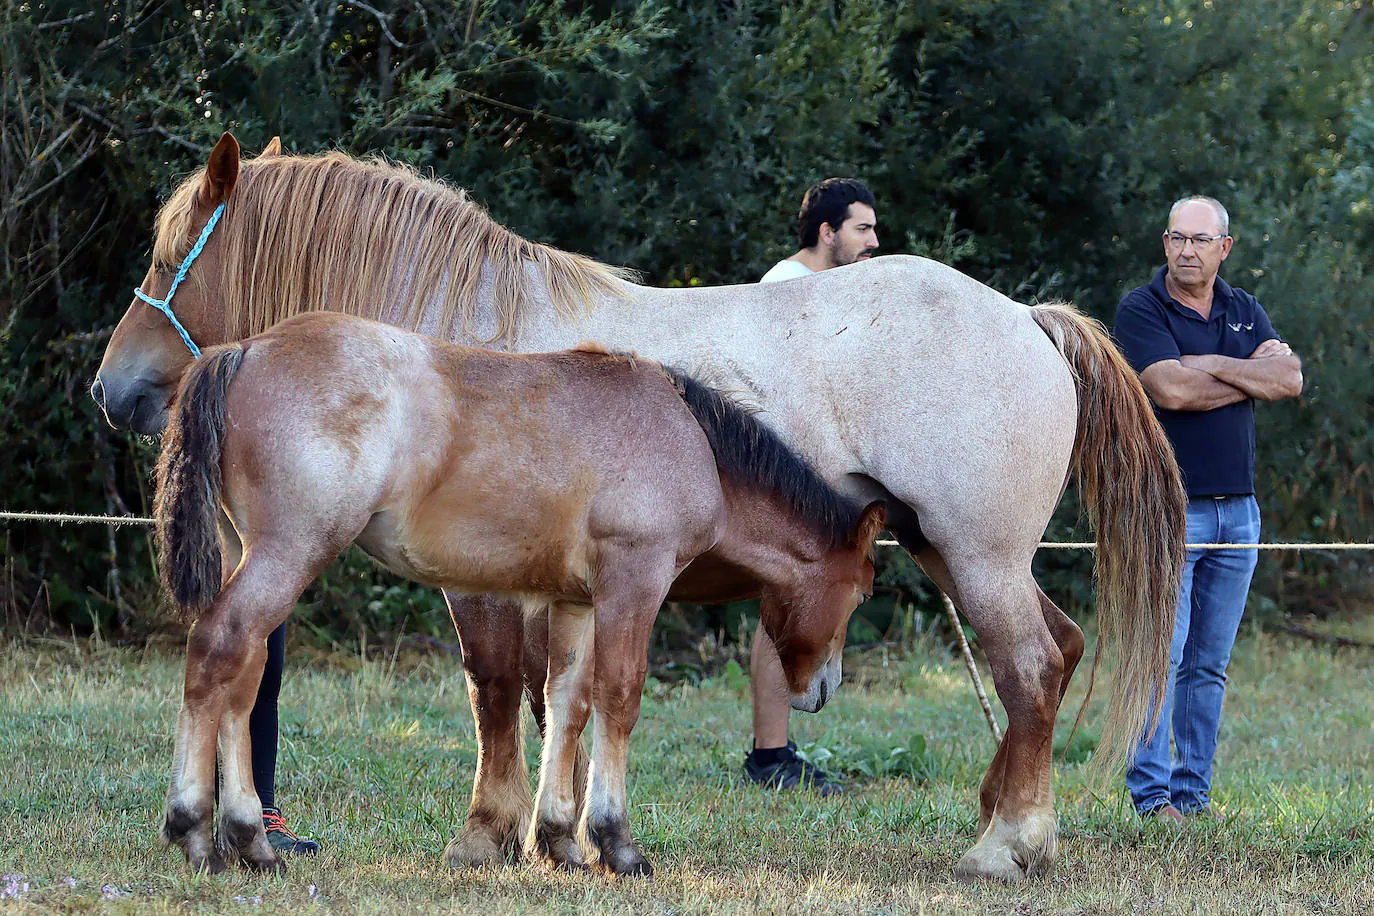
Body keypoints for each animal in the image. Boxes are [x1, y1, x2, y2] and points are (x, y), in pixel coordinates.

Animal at [153, 313, 879, 873]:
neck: (689, 437)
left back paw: (246, 839)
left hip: (251, 555)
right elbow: (619, 699)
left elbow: (567, 704)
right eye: (862, 594)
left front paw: (558, 840)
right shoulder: (634, 583)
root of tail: (244, 349)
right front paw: (616, 844)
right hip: (290, 551)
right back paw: (203, 830)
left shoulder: (576, 601)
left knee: (243, 676)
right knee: (218, 649)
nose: (826, 686)